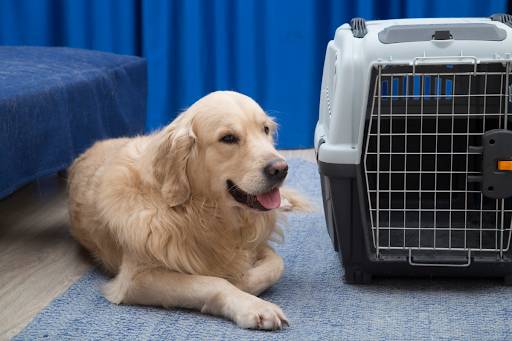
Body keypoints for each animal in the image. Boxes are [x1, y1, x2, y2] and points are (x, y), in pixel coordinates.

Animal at [67, 90, 308, 330]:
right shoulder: (136, 278)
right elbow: (216, 283)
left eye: (265, 129)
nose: (281, 169)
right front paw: (253, 305)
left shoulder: (256, 243)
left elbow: (276, 265)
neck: (200, 211)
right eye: (228, 138)